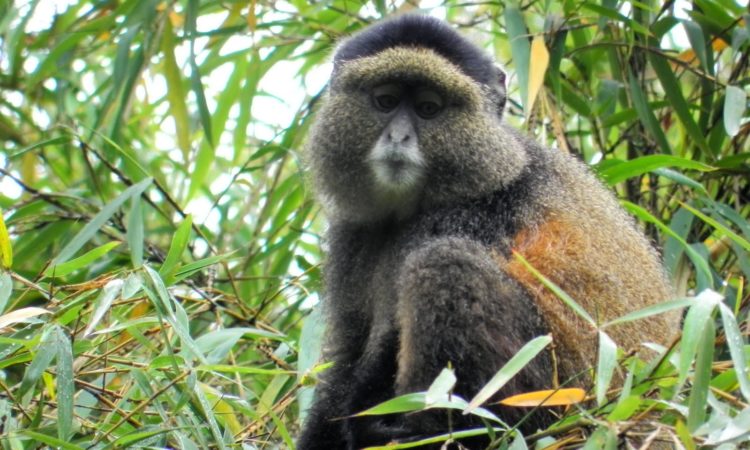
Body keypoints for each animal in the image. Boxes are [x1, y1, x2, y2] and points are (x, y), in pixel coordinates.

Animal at [297, 14, 680, 450]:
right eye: (386, 101)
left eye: (429, 109)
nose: (398, 137)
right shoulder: (353, 234)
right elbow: (349, 353)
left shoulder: (467, 216)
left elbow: (387, 339)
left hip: (550, 396)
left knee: (444, 265)